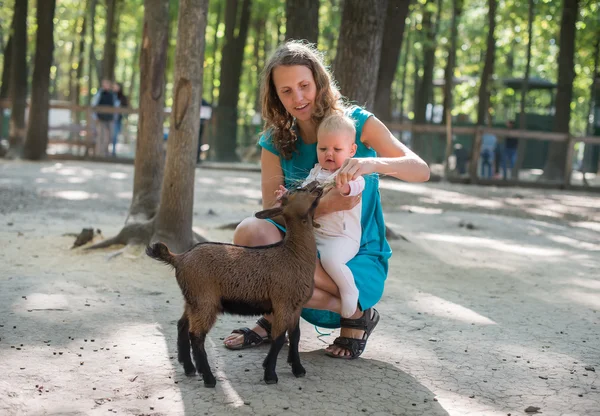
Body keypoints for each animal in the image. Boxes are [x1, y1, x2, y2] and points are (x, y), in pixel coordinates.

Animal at [146, 182, 324, 386]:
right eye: (296, 190)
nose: (317, 185)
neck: (293, 254)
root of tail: (180, 258)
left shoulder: (296, 306)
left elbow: (295, 336)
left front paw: (298, 369)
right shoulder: (282, 304)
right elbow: (279, 339)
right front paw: (270, 375)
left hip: (192, 299)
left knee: (182, 325)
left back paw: (189, 368)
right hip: (205, 300)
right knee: (196, 335)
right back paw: (208, 378)